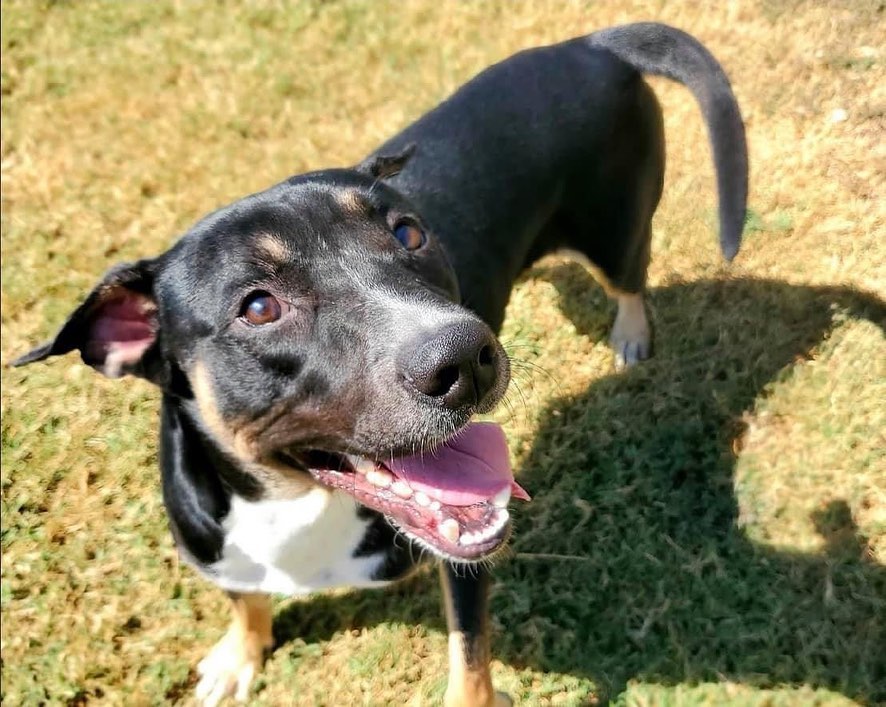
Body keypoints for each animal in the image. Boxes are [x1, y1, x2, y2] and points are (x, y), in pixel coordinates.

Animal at [15, 22, 748, 707]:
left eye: (409, 232)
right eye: (258, 307)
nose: (466, 355)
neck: (295, 504)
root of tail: (591, 43)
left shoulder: (466, 557)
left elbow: (470, 656)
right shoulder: (215, 543)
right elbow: (243, 597)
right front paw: (240, 651)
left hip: (614, 227)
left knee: (630, 280)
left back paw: (630, 335)